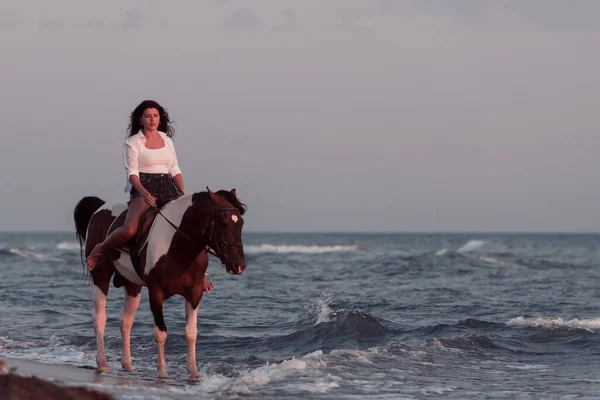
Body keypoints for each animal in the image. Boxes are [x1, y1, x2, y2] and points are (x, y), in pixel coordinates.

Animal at [72, 188, 246, 378]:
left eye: (241, 223)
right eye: (223, 223)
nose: (238, 265)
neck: (178, 246)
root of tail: (100, 208)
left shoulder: (195, 292)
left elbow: (191, 332)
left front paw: (193, 371)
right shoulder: (156, 292)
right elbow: (161, 333)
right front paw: (162, 372)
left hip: (132, 285)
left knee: (126, 322)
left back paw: (128, 365)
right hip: (100, 276)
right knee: (100, 319)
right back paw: (103, 363)